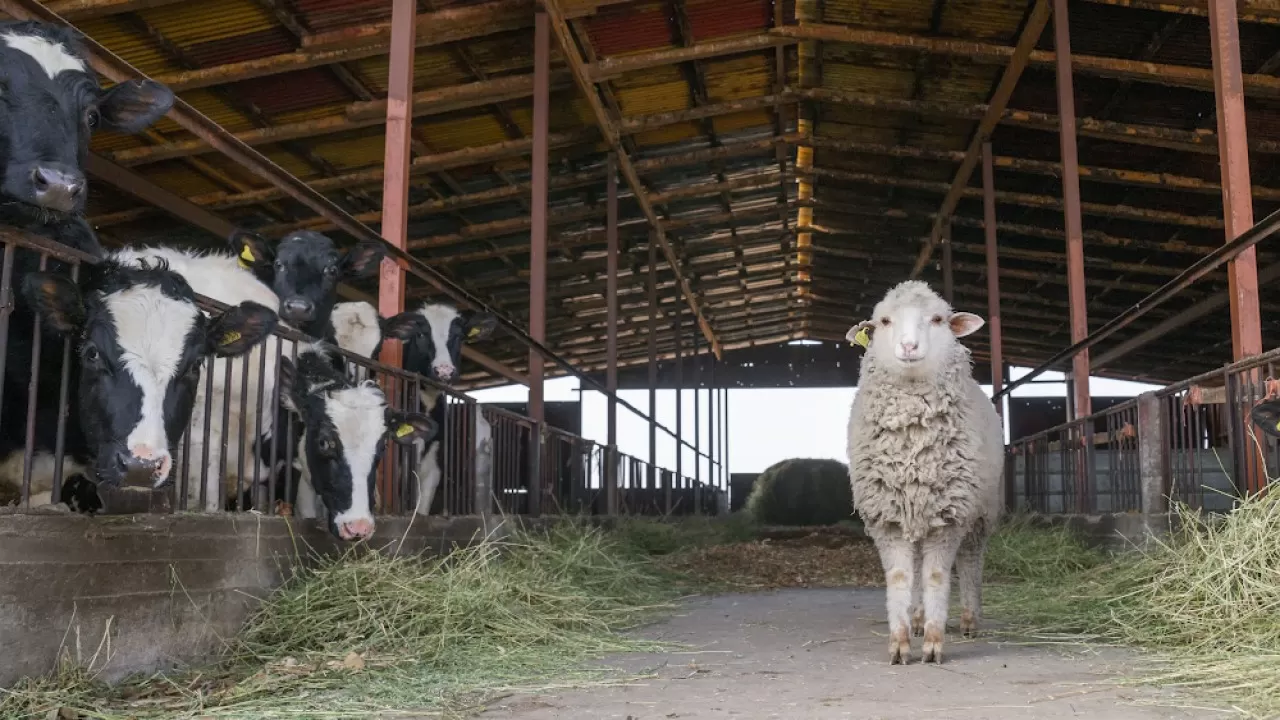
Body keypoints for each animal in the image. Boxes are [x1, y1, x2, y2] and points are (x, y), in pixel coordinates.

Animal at [844, 280, 1003, 661]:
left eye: (937, 319)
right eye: (884, 321)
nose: (908, 346)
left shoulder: (948, 516)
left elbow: (935, 577)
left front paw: (933, 643)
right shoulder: (887, 518)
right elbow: (902, 577)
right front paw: (901, 642)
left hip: (980, 513)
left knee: (971, 563)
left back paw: (969, 619)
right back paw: (916, 619)